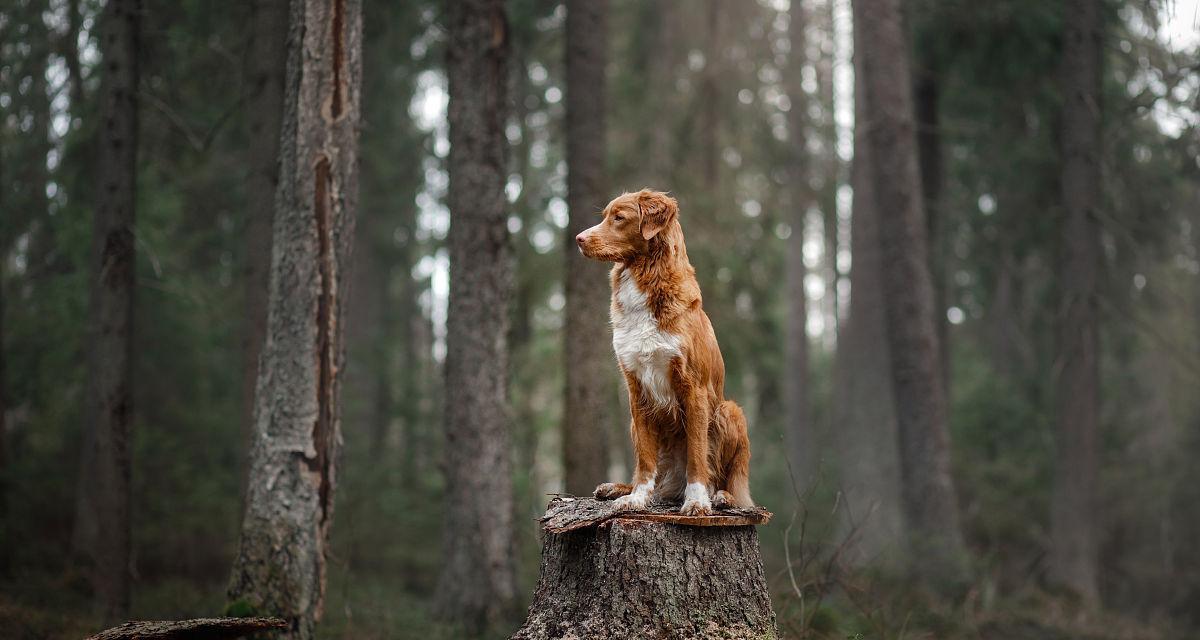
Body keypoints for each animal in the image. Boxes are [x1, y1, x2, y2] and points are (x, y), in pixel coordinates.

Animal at [573, 186, 748, 513]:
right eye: (605, 215)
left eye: (619, 218)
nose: (579, 238)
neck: (646, 278)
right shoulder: (636, 388)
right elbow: (645, 457)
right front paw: (637, 497)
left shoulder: (694, 387)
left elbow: (697, 453)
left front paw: (697, 501)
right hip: (634, 423)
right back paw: (619, 488)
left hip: (729, 411)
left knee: (726, 477)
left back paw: (721, 496)